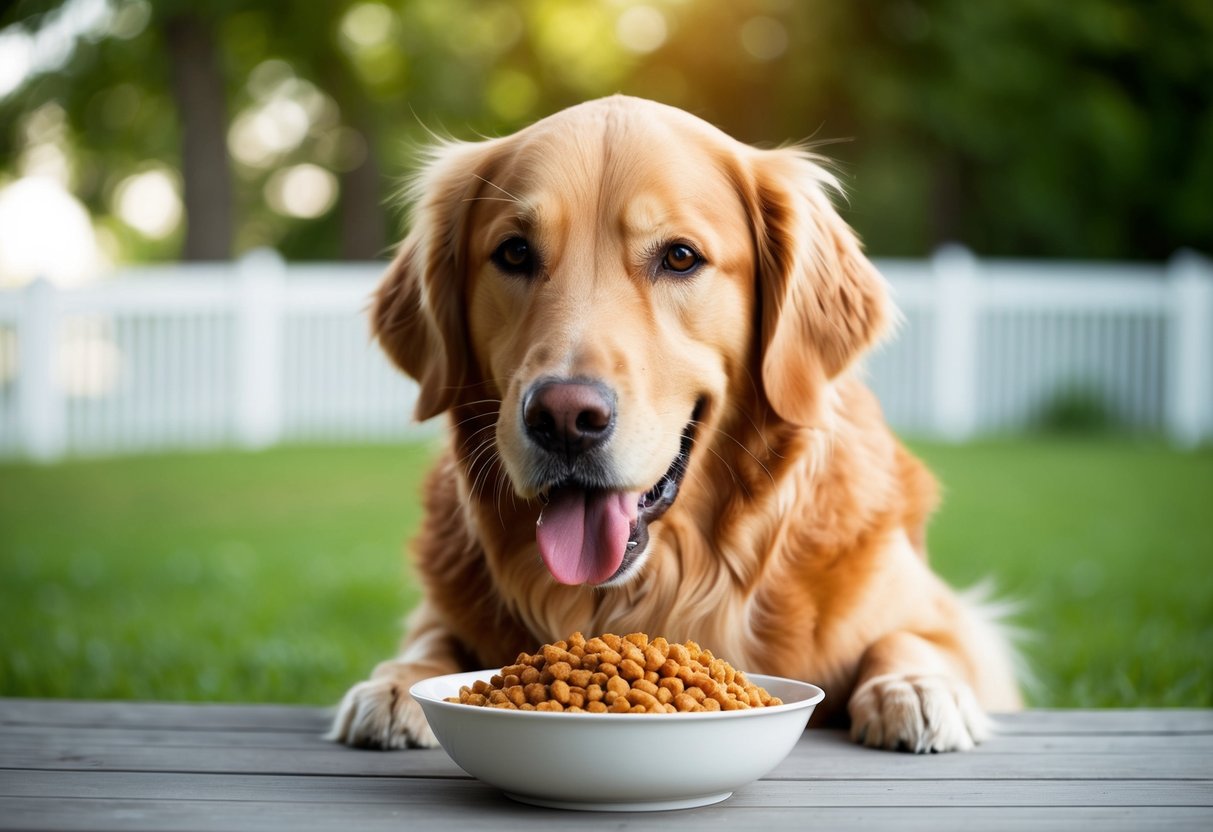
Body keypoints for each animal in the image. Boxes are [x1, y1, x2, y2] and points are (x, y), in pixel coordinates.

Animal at [327, 97, 1018, 756]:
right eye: (514, 252)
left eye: (680, 256)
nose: (564, 419)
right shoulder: (440, 610)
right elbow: (432, 637)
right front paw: (397, 684)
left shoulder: (949, 614)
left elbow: (913, 637)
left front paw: (917, 687)